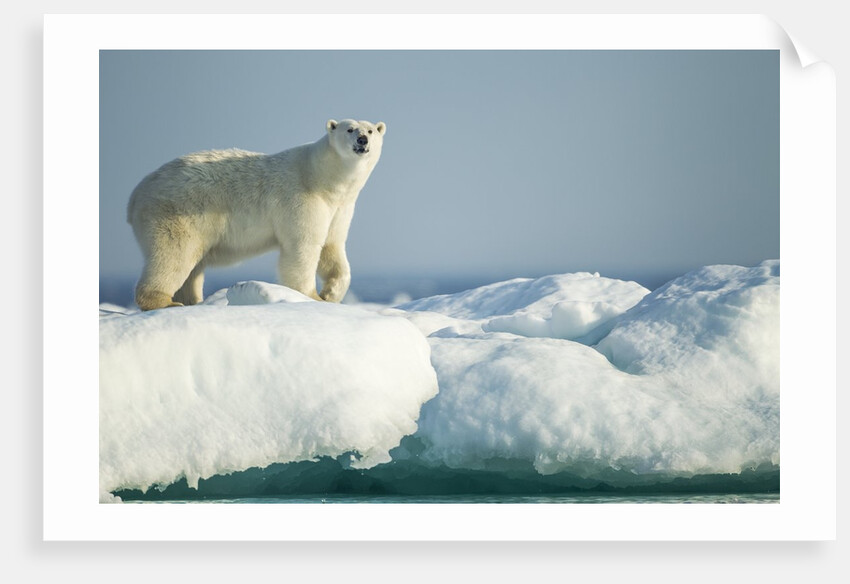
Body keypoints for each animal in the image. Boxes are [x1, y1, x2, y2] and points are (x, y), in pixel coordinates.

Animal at [126, 119, 386, 311]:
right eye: (349, 129)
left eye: (371, 130)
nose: (362, 140)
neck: (319, 176)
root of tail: (136, 194)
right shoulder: (302, 199)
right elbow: (303, 247)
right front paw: (311, 297)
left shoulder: (339, 208)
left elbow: (332, 247)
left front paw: (330, 293)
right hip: (177, 212)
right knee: (174, 254)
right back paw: (165, 302)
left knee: (192, 266)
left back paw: (192, 300)